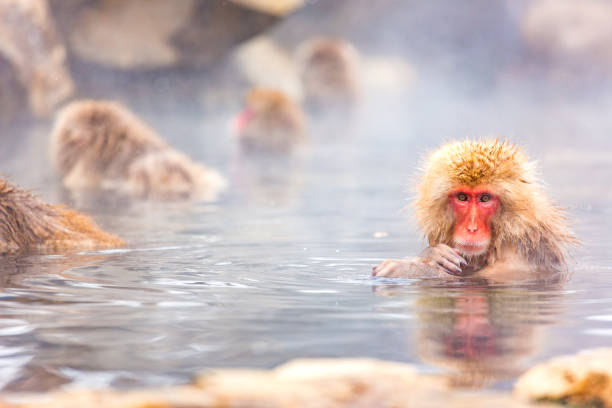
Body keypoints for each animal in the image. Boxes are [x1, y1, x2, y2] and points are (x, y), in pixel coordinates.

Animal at [372, 139, 580, 280]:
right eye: (463, 197)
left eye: (485, 198)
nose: (472, 228)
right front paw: (433, 254)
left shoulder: (517, 262)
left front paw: (409, 266)